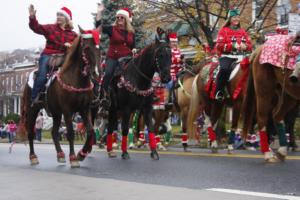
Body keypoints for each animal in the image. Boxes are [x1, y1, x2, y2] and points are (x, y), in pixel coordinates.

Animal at [18, 26, 101, 167]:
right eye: (86, 48)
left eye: (99, 47)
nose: (96, 74)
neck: (76, 79)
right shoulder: (67, 110)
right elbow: (71, 133)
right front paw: (73, 158)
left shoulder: (84, 109)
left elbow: (90, 131)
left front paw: (81, 154)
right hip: (32, 109)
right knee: (31, 132)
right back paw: (33, 157)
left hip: (56, 113)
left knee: (54, 132)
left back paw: (60, 154)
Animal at [105, 31, 172, 160]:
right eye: (160, 54)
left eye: (170, 55)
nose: (167, 78)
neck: (138, 79)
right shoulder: (127, 109)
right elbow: (125, 129)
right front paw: (125, 152)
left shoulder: (147, 108)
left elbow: (151, 128)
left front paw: (154, 152)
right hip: (111, 109)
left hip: (117, 111)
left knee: (111, 127)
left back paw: (111, 150)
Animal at [243, 34, 300, 162]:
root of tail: (259, 49)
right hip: (264, 91)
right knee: (262, 118)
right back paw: (268, 153)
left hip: (287, 94)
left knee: (277, 116)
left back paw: (282, 151)